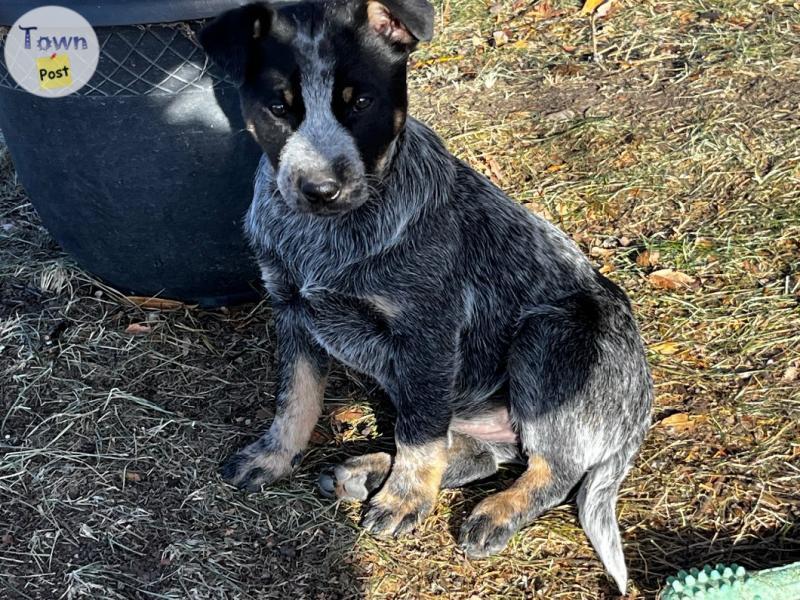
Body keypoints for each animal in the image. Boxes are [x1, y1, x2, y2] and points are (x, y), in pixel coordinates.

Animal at [198, 0, 648, 592]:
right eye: (278, 106)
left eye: (360, 102)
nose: (320, 190)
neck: (327, 235)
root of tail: (639, 411)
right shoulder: (293, 311)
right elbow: (294, 398)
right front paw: (275, 456)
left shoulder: (427, 332)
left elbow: (418, 434)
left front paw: (404, 501)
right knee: (479, 454)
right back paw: (363, 472)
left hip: (549, 336)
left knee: (553, 468)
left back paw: (492, 512)